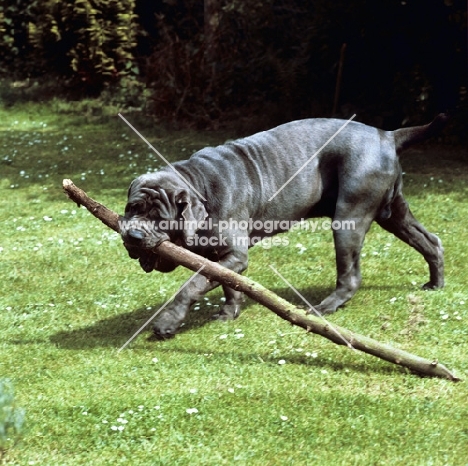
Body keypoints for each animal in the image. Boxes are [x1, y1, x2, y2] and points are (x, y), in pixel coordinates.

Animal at [119, 114, 446, 336]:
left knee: (350, 275)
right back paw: (436, 283)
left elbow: (192, 285)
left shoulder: (233, 255)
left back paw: (324, 307)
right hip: (392, 213)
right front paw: (229, 313)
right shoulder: (225, 257)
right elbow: (229, 284)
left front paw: (167, 323)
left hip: (349, 217)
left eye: (160, 219)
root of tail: (387, 135)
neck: (200, 185)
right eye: (131, 208)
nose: (133, 235)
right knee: (430, 241)